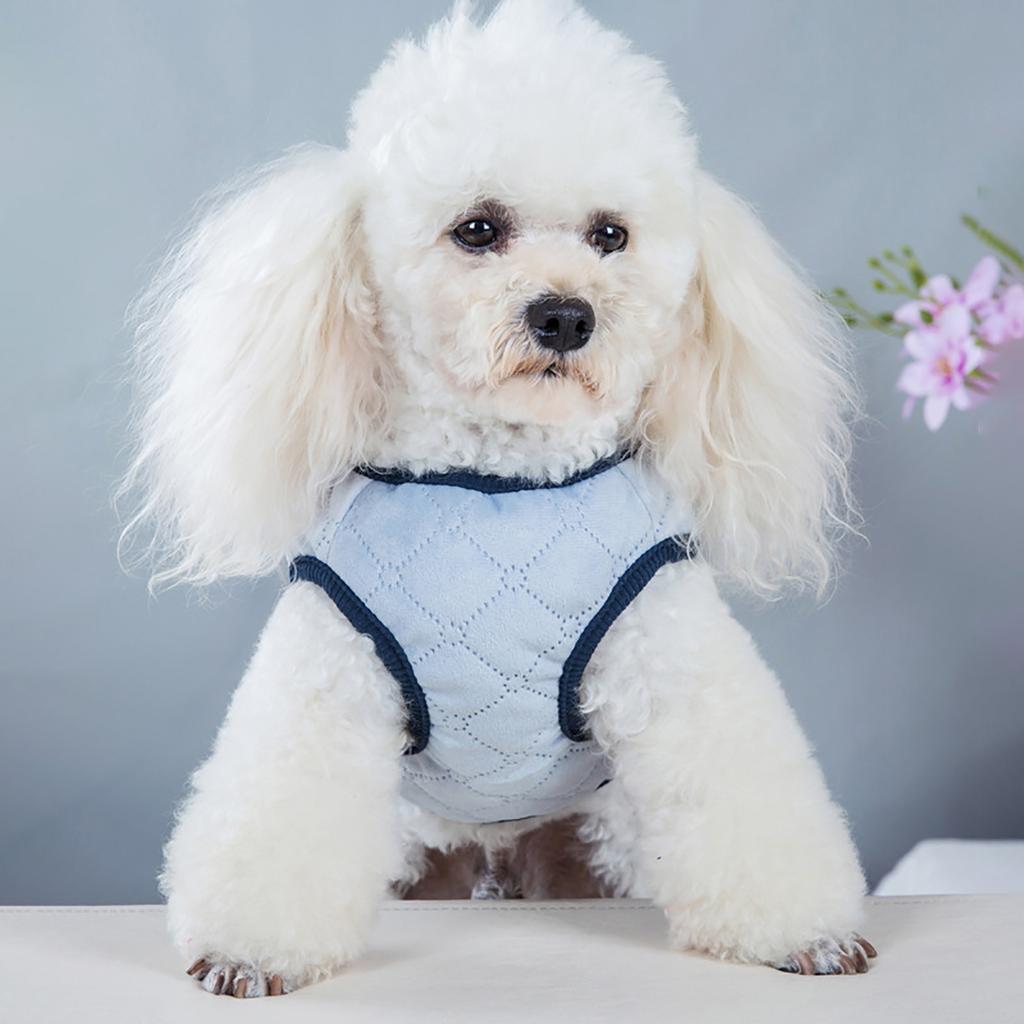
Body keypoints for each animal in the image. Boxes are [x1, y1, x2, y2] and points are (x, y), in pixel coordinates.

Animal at [122, 0, 874, 997]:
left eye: (610, 235)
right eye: (477, 229)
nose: (565, 315)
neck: (497, 488)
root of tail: (499, 858)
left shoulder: (676, 659)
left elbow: (742, 793)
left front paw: (808, 933)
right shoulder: (329, 677)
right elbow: (282, 805)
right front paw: (250, 951)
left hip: (588, 851)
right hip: (424, 857)